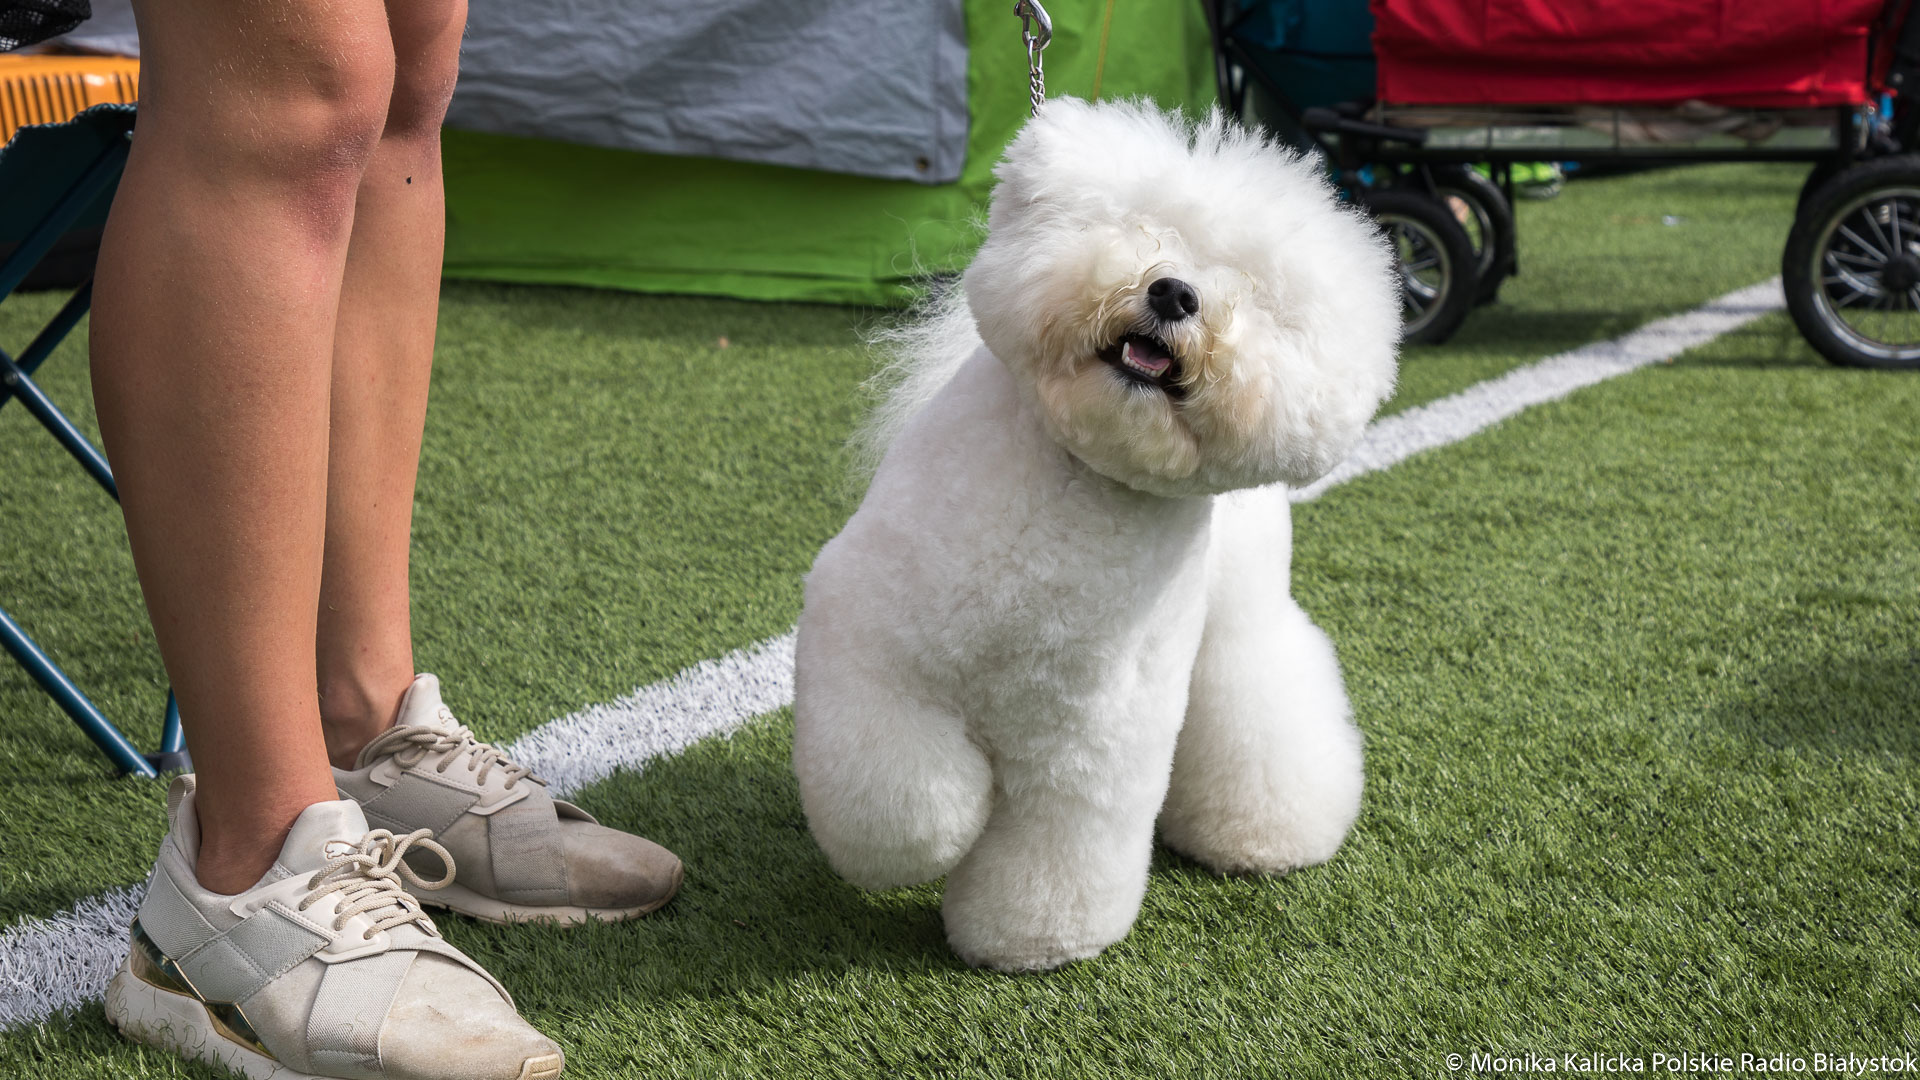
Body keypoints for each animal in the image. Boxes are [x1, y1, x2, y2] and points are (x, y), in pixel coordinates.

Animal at [792, 98, 1400, 973]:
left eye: (1250, 288)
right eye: (1137, 226)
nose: (1175, 293)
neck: (1080, 478)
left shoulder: (1090, 745)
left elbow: (1059, 847)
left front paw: (1032, 942)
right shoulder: (868, 645)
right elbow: (899, 798)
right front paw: (946, 824)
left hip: (1241, 627)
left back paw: (1269, 834)